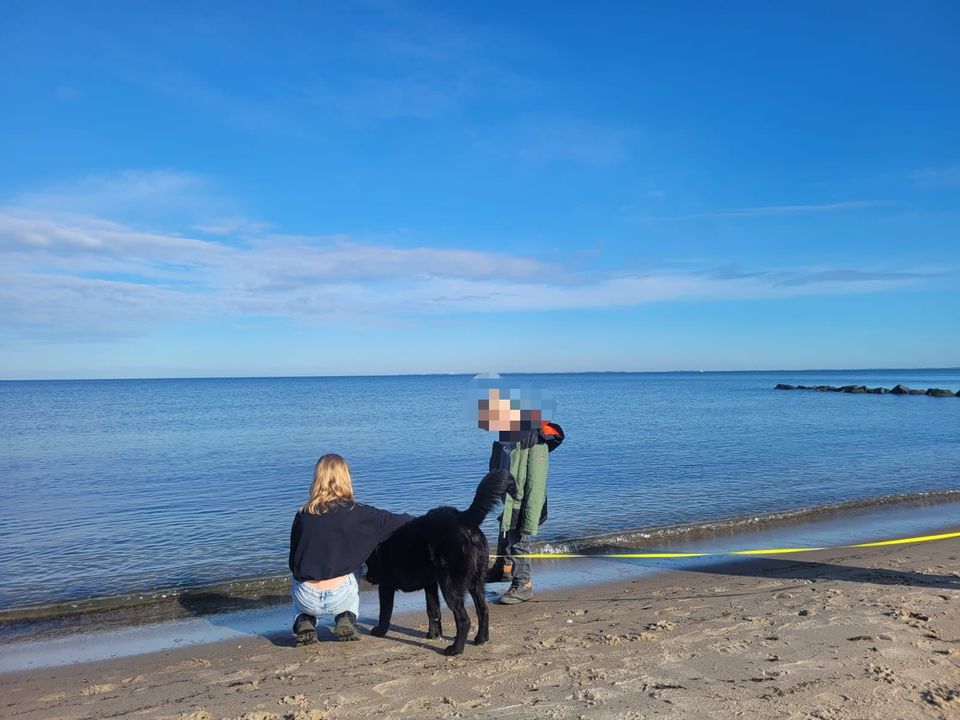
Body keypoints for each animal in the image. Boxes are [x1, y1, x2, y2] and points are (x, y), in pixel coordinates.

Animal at [366, 470, 512, 656]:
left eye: (369, 562)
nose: (368, 578)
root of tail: (462, 518)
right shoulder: (430, 584)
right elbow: (433, 610)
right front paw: (433, 635)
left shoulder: (386, 586)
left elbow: (384, 613)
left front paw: (379, 631)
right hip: (476, 583)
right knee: (483, 610)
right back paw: (481, 639)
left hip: (450, 586)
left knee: (464, 619)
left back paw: (456, 649)